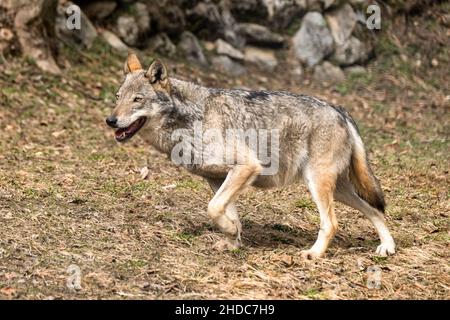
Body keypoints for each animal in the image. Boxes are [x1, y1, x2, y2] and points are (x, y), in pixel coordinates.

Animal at [105, 53, 394, 260]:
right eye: (118, 97)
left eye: (137, 100)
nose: (110, 120)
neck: (192, 120)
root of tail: (339, 109)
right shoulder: (218, 179)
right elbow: (226, 213)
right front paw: (234, 241)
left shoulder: (246, 167)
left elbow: (213, 209)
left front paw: (233, 234)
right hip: (337, 190)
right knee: (376, 210)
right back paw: (387, 248)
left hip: (318, 185)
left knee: (332, 223)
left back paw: (314, 254)